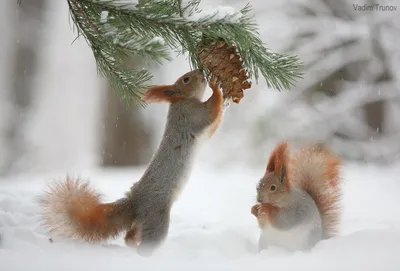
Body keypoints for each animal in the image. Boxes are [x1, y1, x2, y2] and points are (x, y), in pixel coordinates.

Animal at [39, 69, 227, 258]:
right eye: (186, 79)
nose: (201, 71)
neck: (181, 100)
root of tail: (135, 202)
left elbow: (214, 125)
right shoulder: (192, 115)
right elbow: (211, 112)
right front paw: (216, 88)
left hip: (144, 221)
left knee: (130, 235)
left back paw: (131, 244)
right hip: (157, 218)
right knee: (148, 242)